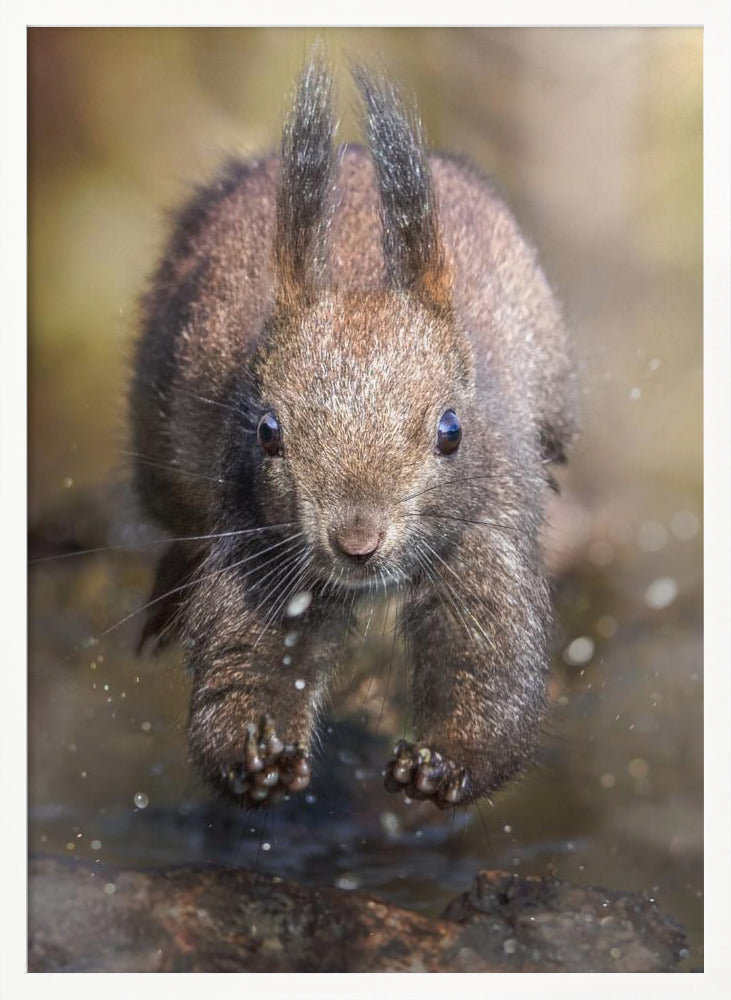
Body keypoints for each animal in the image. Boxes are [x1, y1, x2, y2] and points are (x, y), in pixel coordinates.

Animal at [129, 54, 577, 811]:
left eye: (450, 432)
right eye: (268, 431)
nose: (356, 543)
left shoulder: (487, 523)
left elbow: (490, 658)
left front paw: (442, 763)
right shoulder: (257, 537)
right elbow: (248, 653)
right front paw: (256, 757)